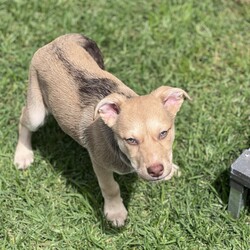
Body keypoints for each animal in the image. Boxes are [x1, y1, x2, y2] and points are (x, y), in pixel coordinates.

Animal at [13, 33, 190, 227]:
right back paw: (23, 155)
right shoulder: (99, 162)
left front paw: (171, 169)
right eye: (131, 140)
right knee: (23, 117)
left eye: (164, 133)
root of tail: (57, 41)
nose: (156, 171)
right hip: (36, 109)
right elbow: (111, 187)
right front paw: (115, 213)